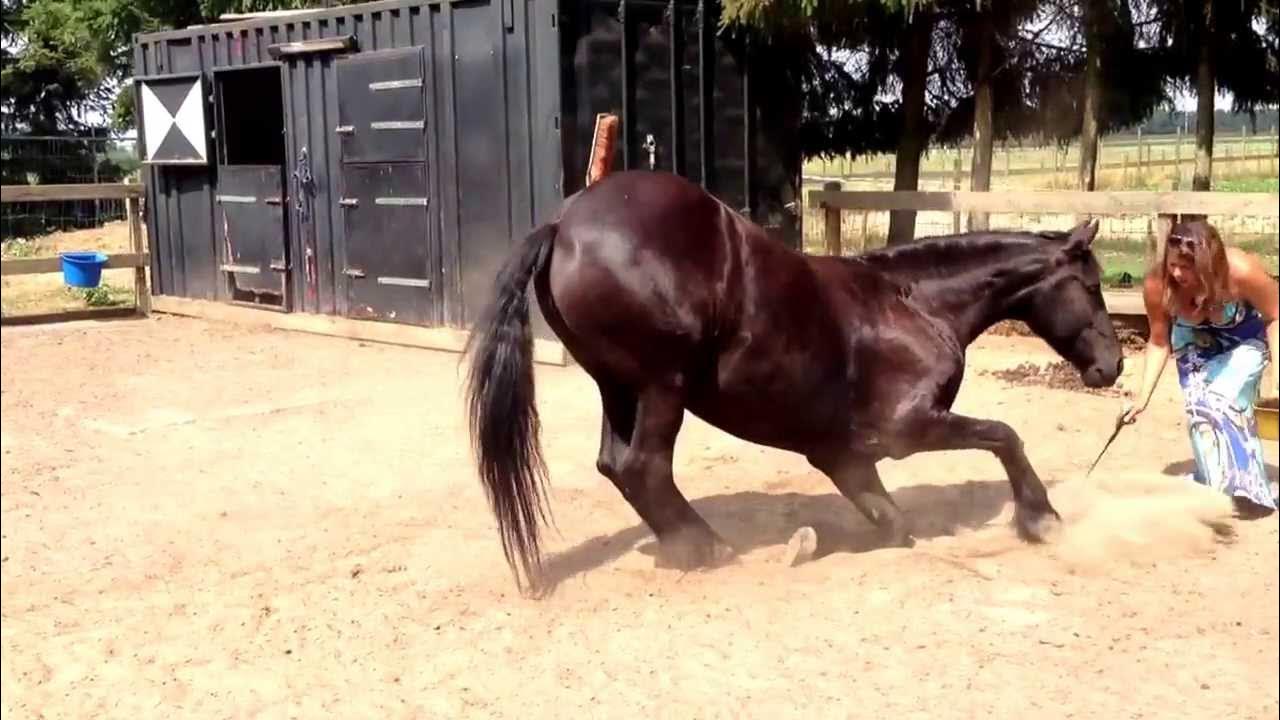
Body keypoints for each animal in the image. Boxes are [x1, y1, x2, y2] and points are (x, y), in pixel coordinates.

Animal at [463, 169, 1123, 593]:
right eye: (1091, 286)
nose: (1111, 366)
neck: (916, 304)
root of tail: (563, 223)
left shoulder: (842, 455)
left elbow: (893, 524)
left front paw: (809, 545)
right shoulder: (910, 429)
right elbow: (1004, 435)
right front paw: (1040, 519)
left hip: (618, 388)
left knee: (616, 466)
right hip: (661, 386)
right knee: (642, 467)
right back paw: (709, 549)